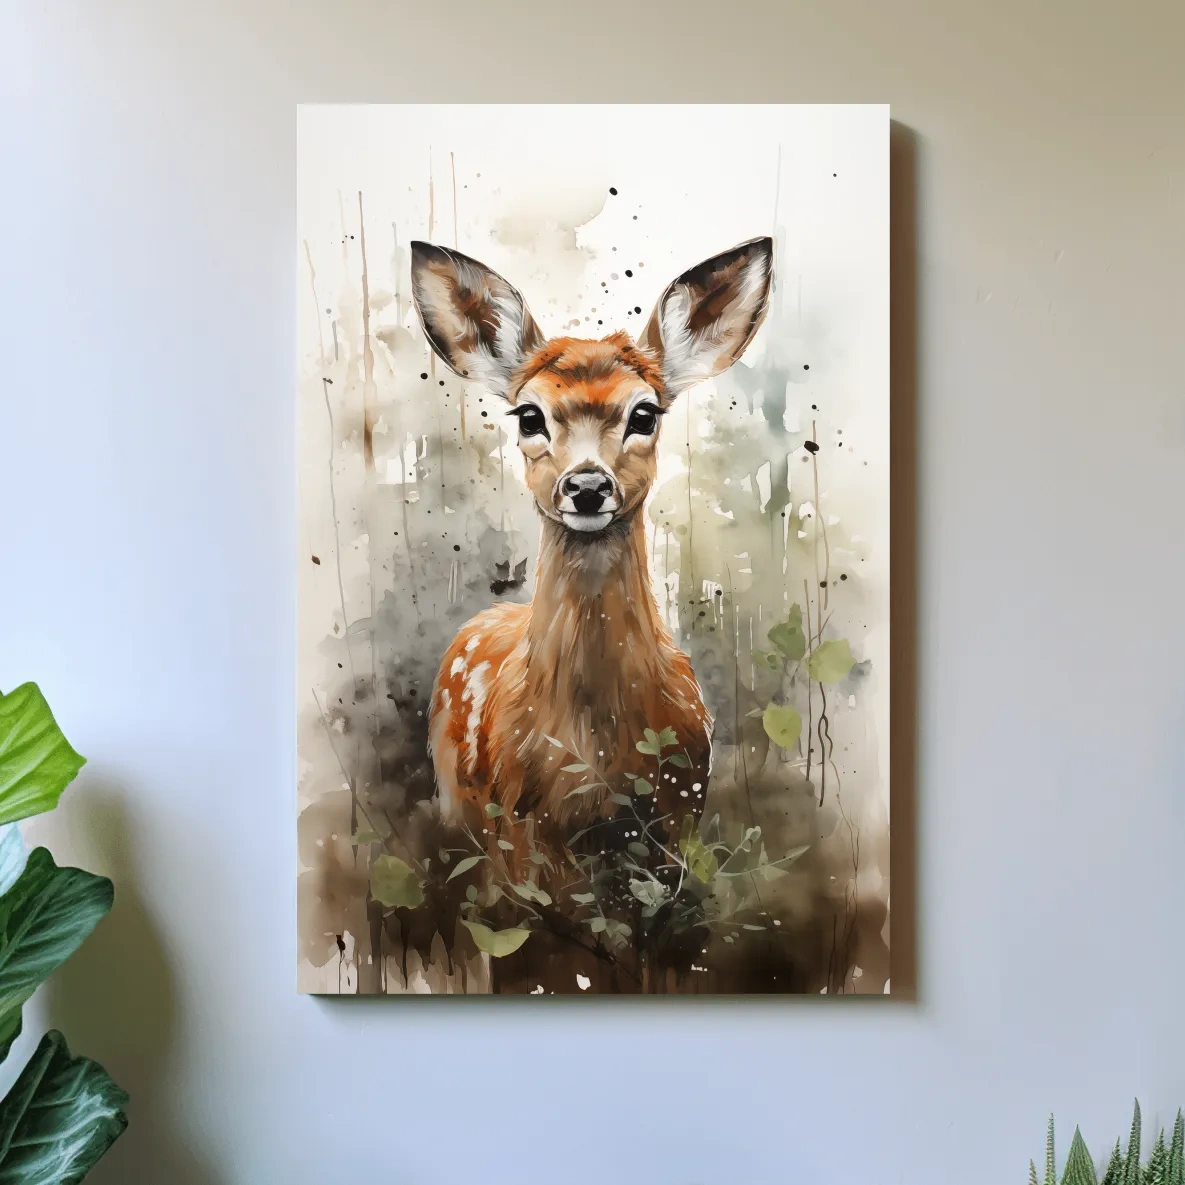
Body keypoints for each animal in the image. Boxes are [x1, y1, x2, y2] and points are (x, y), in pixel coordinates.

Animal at [410, 236, 773, 882]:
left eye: (645, 413)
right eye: (529, 415)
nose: (586, 486)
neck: (596, 754)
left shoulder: (681, 814)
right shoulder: (518, 829)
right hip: (457, 800)